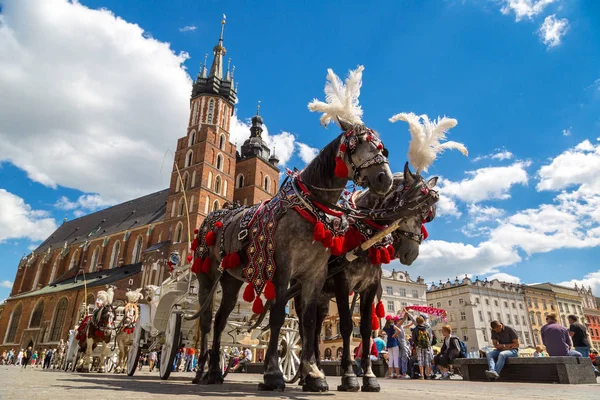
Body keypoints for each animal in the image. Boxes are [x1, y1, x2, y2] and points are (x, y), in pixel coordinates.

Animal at [189, 119, 394, 390]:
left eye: (382, 147)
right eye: (357, 144)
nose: (384, 178)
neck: (310, 210)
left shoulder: (314, 275)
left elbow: (308, 323)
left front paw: (314, 374)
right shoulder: (283, 269)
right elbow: (277, 317)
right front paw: (273, 374)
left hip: (231, 280)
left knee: (220, 320)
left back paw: (214, 372)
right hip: (207, 275)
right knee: (205, 321)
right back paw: (201, 371)